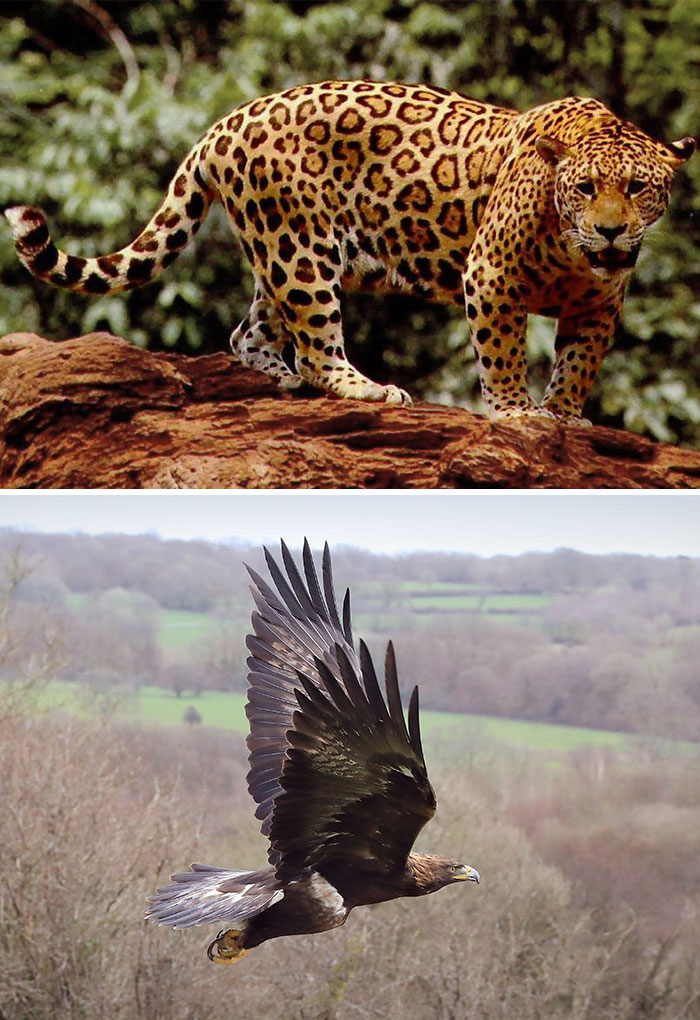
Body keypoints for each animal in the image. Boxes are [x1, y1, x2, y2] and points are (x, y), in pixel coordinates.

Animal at [5, 80, 695, 421]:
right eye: (585, 188)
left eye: (636, 188)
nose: (611, 231)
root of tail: (224, 123)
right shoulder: (491, 274)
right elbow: (502, 352)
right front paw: (516, 414)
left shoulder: (599, 303)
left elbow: (579, 362)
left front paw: (567, 415)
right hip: (301, 250)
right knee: (315, 346)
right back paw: (366, 389)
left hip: (282, 252)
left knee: (249, 333)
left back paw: (281, 380)